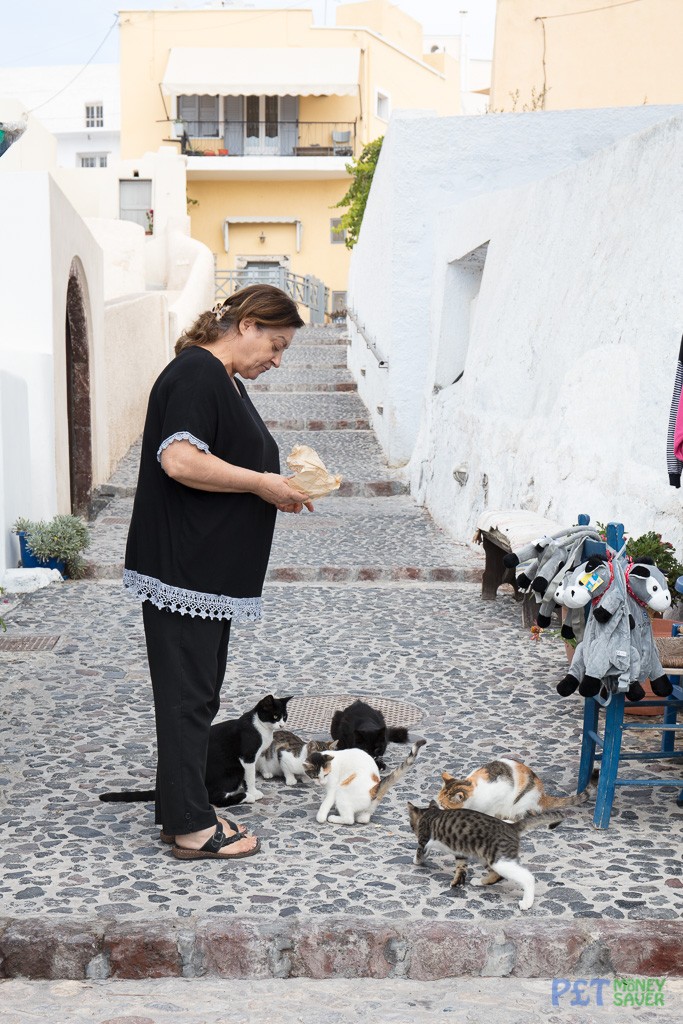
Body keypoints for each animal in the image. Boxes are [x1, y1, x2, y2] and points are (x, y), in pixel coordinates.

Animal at [100, 696, 292, 806]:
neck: (260, 727)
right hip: (233, 769)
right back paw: (245, 797)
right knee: (214, 798)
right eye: (275, 716)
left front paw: (250, 790)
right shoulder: (247, 757)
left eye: (284, 716)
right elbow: (250, 777)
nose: (282, 725)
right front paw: (253, 792)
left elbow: (247, 778)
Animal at [405, 798, 561, 913]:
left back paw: (527, 902)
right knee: (496, 875)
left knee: (527, 877)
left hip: (500, 860)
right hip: (485, 856)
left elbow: (420, 852)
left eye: (411, 824)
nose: (411, 828)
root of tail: (511, 826)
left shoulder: (423, 839)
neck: (431, 813)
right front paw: (457, 883)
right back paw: (479, 882)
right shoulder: (460, 853)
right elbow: (461, 868)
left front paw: (416, 861)